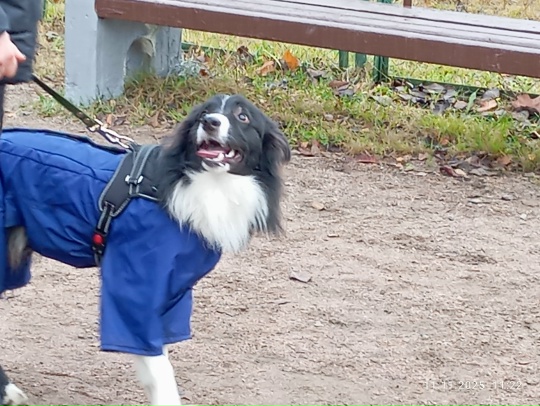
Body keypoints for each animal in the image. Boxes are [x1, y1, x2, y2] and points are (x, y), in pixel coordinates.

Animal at [0, 94, 291, 406]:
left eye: (242, 116)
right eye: (205, 112)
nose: (210, 122)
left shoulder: (172, 293)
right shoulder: (135, 289)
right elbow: (159, 369)